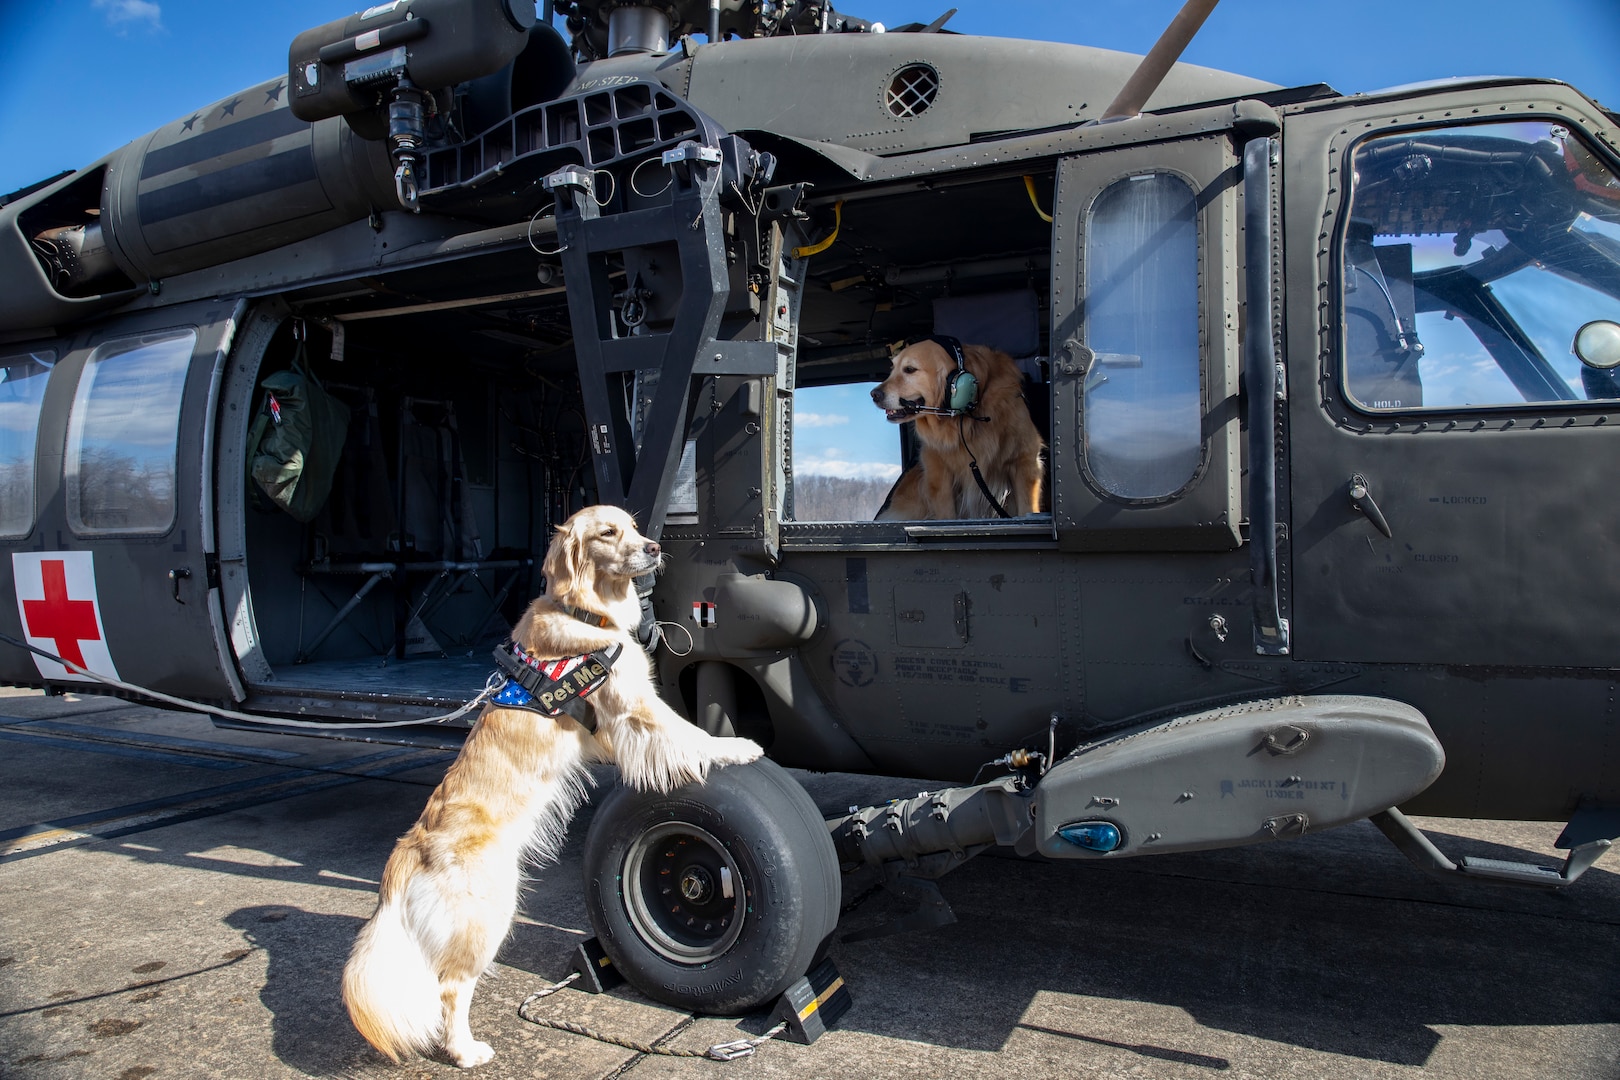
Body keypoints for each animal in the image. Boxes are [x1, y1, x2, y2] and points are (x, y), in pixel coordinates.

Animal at [336, 505, 764, 1062]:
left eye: (633, 525)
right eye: (608, 533)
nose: (654, 547)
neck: (587, 610)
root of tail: (409, 851)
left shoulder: (611, 728)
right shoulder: (636, 706)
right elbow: (690, 734)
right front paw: (737, 748)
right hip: (488, 915)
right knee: (449, 988)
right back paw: (466, 1051)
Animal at [868, 338, 1043, 524]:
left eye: (909, 369)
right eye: (892, 369)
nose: (874, 394)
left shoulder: (1025, 460)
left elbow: (1027, 508)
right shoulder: (938, 471)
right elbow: (946, 513)